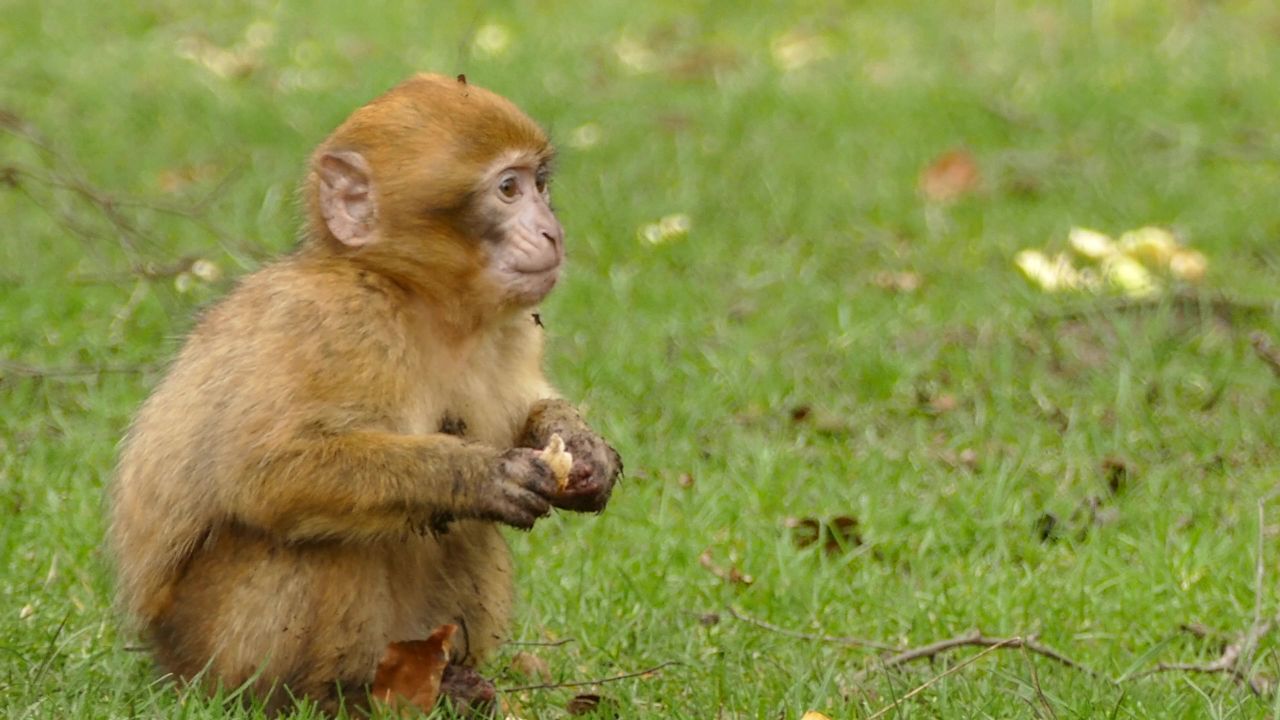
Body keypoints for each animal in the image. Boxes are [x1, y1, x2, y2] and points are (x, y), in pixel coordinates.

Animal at [109, 73, 622, 715]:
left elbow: (528, 410)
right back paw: (327, 696)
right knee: (310, 540)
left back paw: (447, 681)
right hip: (209, 650)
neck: (415, 298)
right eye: (508, 189)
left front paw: (581, 447)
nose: (552, 231)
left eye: (540, 184)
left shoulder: (512, 330)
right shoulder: (339, 322)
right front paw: (480, 475)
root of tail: (164, 661)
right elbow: (266, 470)